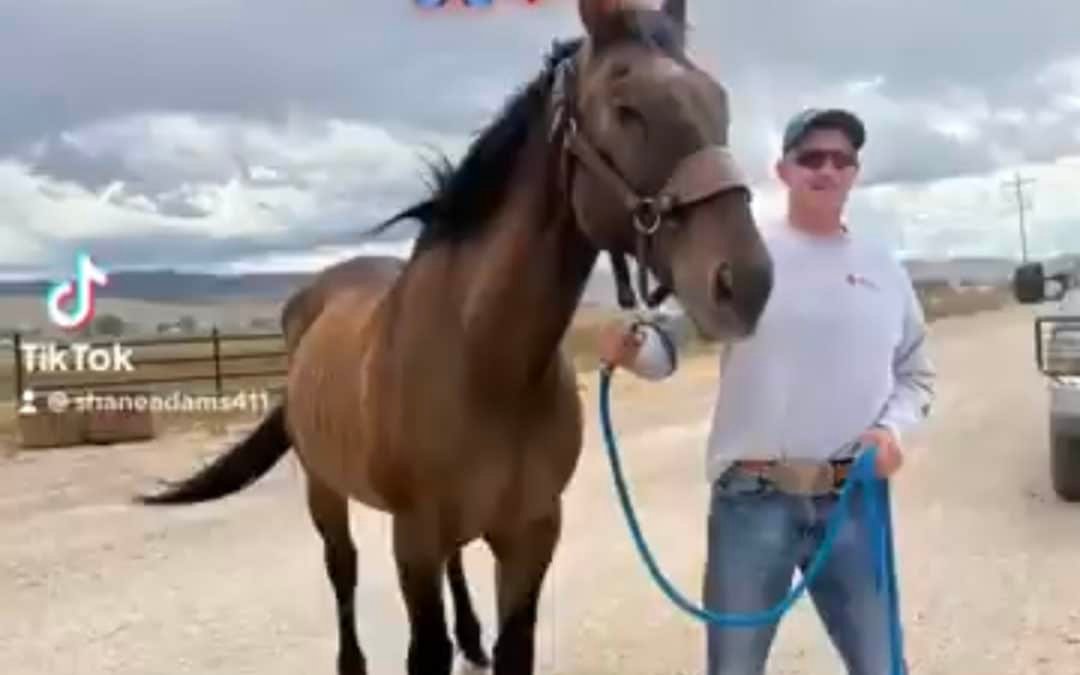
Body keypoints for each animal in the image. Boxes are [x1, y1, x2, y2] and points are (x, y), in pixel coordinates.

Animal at [134, 1, 774, 673]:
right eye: (627, 108)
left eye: (719, 101)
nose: (746, 283)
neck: (484, 361)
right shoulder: (413, 537)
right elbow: (425, 648)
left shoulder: (531, 533)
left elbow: (512, 643)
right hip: (325, 490)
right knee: (343, 570)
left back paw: (470, 636)